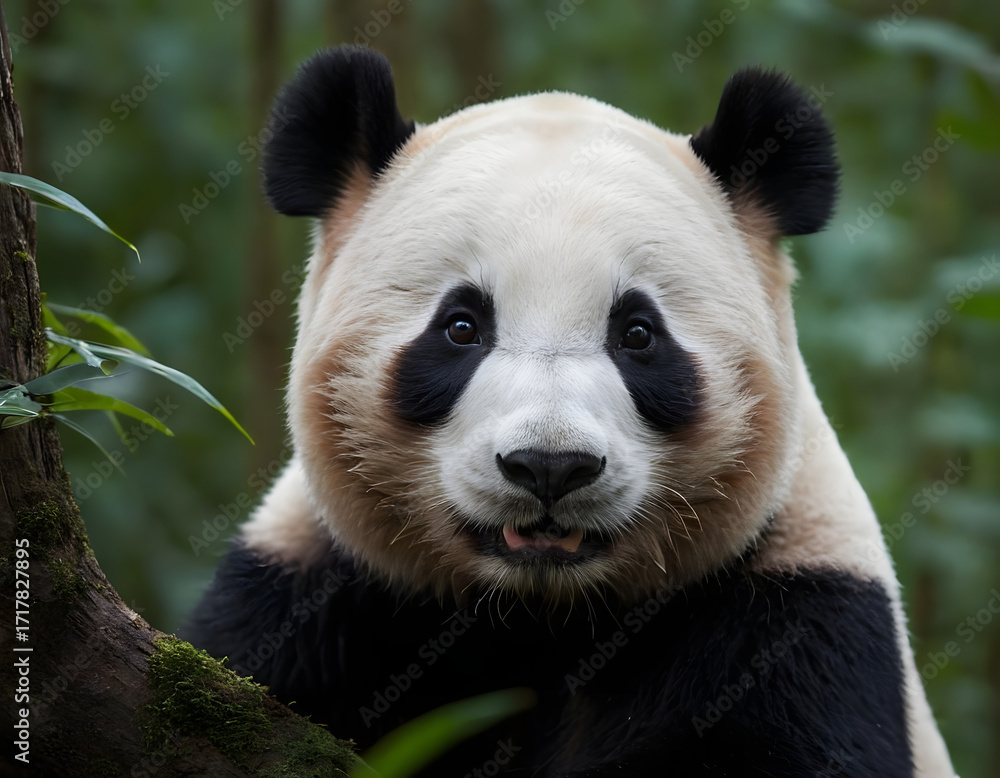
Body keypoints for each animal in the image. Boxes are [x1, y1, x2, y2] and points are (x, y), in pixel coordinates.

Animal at [183, 46, 956, 777]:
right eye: (460, 326)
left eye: (638, 334)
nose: (550, 467)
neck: (541, 613)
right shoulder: (313, 587)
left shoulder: (798, 601)